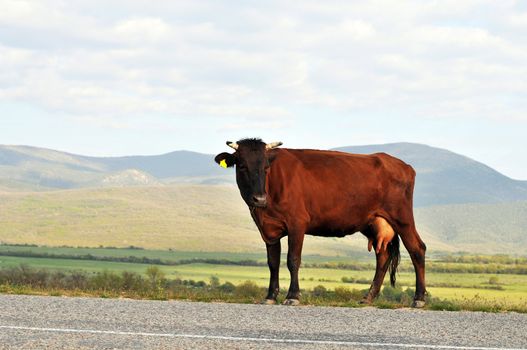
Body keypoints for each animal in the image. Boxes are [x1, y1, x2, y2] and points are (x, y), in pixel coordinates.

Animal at [217, 138, 426, 308]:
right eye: (242, 166)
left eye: (266, 168)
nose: (259, 199)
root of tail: (400, 164)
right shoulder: (268, 230)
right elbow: (273, 263)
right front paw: (270, 296)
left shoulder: (297, 223)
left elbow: (293, 260)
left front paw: (293, 296)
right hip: (373, 222)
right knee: (383, 255)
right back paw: (368, 298)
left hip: (402, 217)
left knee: (417, 249)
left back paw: (419, 298)